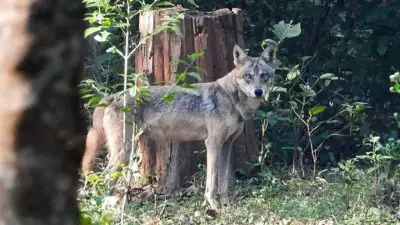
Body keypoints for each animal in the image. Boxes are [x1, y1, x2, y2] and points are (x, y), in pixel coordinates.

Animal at [81, 39, 278, 210]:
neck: (231, 99)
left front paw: (226, 206)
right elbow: (211, 182)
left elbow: (222, 184)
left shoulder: (226, 145)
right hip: (124, 151)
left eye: (264, 76)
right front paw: (213, 207)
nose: (258, 92)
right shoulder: (212, 144)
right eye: (248, 76)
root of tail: (112, 96)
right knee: (104, 177)